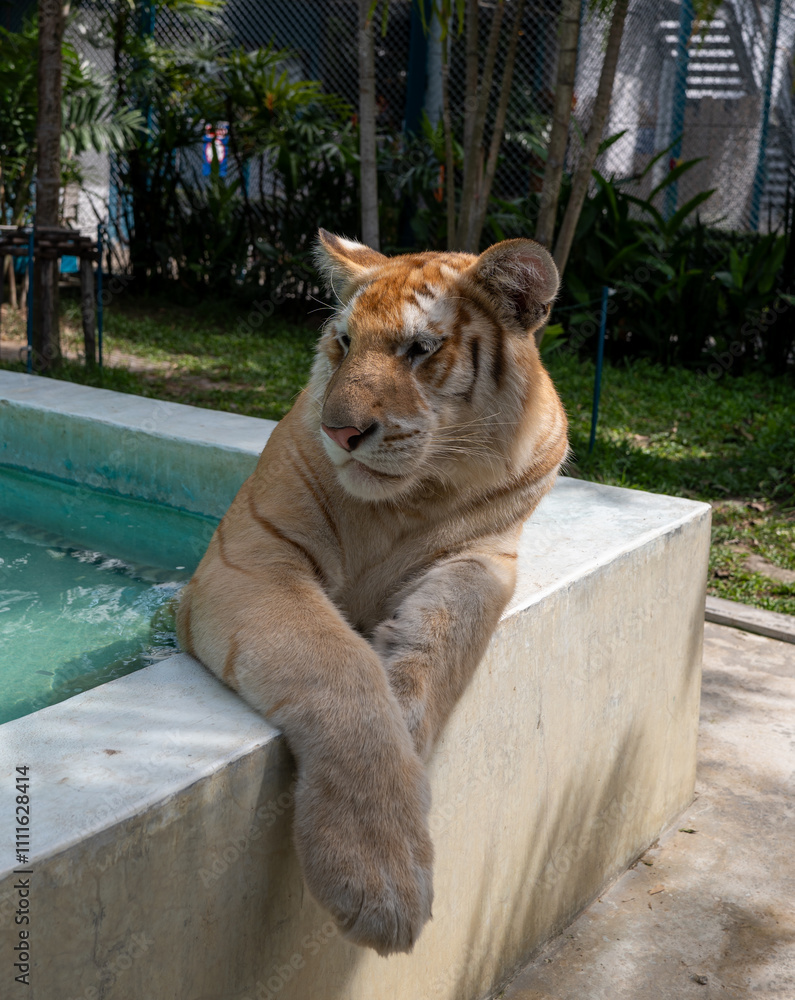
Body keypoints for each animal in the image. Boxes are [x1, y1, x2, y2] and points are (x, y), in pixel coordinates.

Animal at [175, 229, 568, 956]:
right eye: (344, 341)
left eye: (420, 348)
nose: (340, 431)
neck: (415, 495)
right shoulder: (253, 557)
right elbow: (341, 670)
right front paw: (380, 877)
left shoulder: (483, 560)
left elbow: (435, 650)